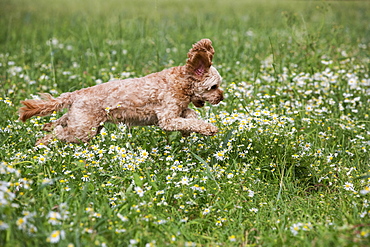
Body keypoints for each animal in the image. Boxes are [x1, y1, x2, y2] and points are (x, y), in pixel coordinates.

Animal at [18, 38, 223, 145]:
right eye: (214, 86)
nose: (221, 97)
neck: (179, 82)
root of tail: (75, 94)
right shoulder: (167, 118)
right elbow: (188, 120)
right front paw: (209, 129)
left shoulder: (177, 110)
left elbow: (191, 115)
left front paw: (191, 129)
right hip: (83, 130)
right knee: (58, 133)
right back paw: (41, 144)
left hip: (82, 122)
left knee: (59, 124)